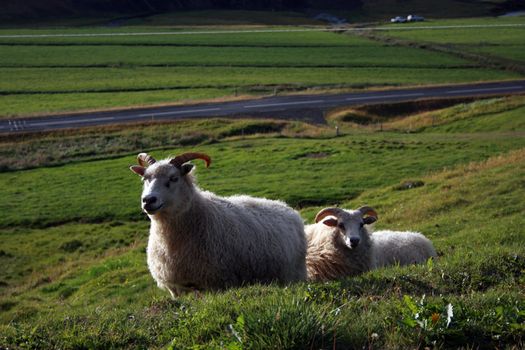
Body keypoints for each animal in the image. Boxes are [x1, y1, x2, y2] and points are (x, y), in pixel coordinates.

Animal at [129, 152, 308, 296]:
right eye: (145, 179)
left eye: (174, 178)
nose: (148, 200)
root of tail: (288, 208)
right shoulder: (177, 289)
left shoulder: (217, 283)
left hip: (296, 274)